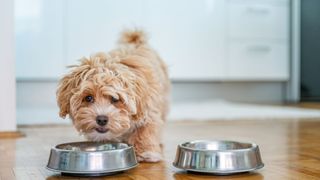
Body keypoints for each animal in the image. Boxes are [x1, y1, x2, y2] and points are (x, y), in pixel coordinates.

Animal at [55, 29, 170, 162]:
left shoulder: (149, 111)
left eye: (115, 99)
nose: (101, 119)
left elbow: (145, 130)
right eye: (88, 98)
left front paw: (145, 152)